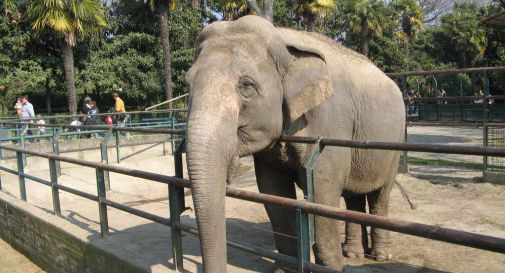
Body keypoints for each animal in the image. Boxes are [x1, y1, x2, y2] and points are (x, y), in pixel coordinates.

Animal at [185, 15, 406, 272]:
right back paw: (352, 252)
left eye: (246, 85)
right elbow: (273, 189)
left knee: (381, 194)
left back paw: (380, 256)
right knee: (353, 195)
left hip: (394, 142)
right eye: (187, 84)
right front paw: (284, 268)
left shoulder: (330, 119)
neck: (282, 39)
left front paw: (330, 268)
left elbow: (322, 187)